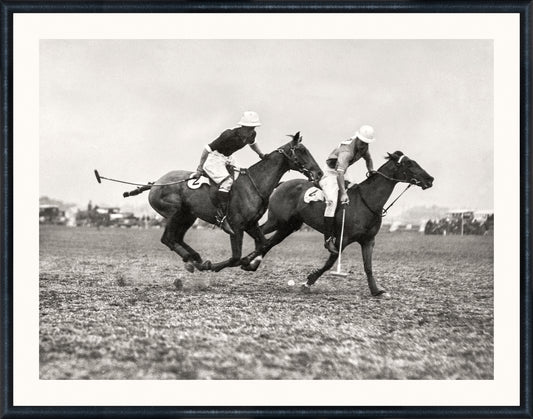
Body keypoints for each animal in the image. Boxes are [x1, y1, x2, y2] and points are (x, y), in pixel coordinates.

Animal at [124, 133, 322, 274]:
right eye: (302, 150)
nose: (319, 173)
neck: (254, 183)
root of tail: (157, 183)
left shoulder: (251, 223)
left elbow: (264, 244)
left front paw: (249, 262)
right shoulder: (237, 225)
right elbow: (236, 257)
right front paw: (218, 266)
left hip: (188, 216)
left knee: (177, 238)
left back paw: (195, 259)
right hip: (174, 213)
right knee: (168, 238)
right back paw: (193, 259)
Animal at [241, 151, 432, 296]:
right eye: (409, 163)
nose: (430, 179)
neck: (366, 201)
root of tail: (282, 184)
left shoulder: (368, 240)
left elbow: (368, 266)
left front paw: (376, 290)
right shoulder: (342, 239)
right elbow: (329, 263)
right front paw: (308, 281)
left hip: (289, 226)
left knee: (269, 242)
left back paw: (251, 261)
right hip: (277, 220)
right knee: (259, 233)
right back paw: (247, 258)